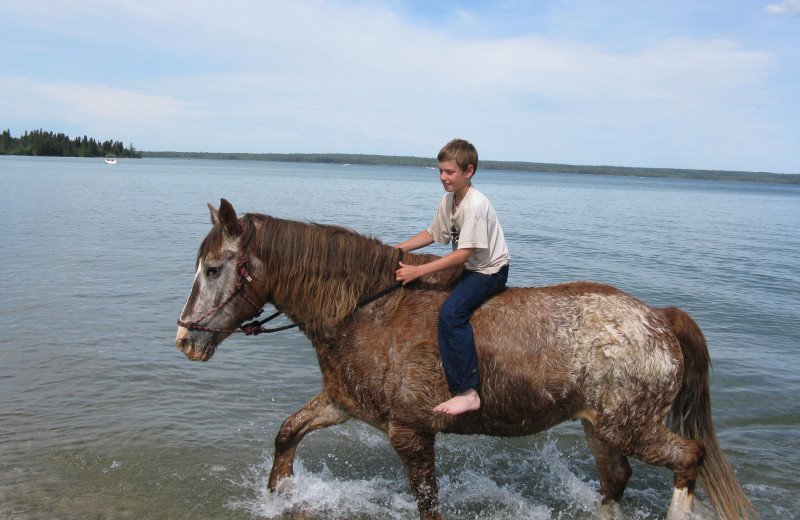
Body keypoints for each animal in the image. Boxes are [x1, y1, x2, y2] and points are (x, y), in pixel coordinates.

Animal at [173, 199, 756, 520]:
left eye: (214, 269)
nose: (184, 340)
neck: (368, 310)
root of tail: (659, 317)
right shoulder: (342, 404)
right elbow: (287, 435)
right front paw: (280, 496)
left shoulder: (410, 432)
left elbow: (429, 504)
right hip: (601, 428)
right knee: (616, 481)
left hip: (631, 426)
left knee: (688, 458)